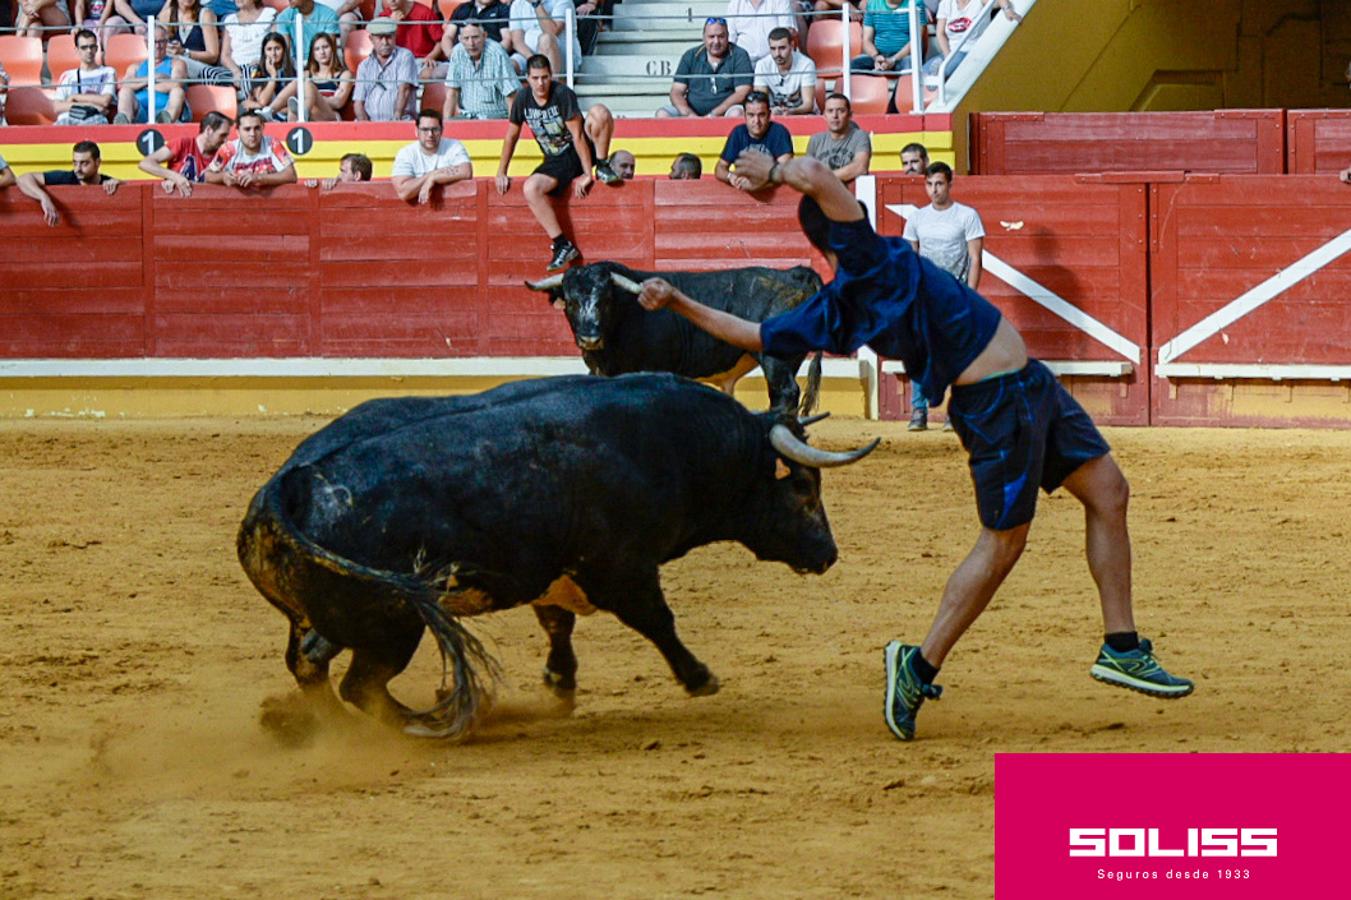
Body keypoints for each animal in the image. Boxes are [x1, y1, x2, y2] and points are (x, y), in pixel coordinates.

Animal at [237, 370, 880, 735]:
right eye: (804, 489)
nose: (828, 553)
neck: (678, 441)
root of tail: (287, 486)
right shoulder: (621, 568)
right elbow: (658, 620)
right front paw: (700, 678)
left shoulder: (553, 571)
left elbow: (557, 624)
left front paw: (560, 683)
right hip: (394, 625)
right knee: (358, 684)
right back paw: (429, 721)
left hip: (335, 617)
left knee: (312, 665)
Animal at [526, 259, 821, 413]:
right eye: (571, 302)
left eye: (606, 300)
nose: (590, 338)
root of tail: (794, 274)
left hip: (776, 360)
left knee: (785, 392)